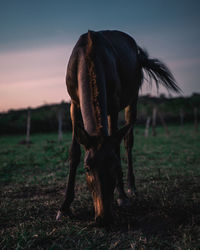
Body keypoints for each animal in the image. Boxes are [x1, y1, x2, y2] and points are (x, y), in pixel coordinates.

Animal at [55, 30, 180, 226]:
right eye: (87, 168)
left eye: (114, 166)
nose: (103, 218)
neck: (89, 56)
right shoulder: (74, 104)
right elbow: (74, 153)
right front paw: (64, 207)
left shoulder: (113, 105)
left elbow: (116, 146)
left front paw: (121, 196)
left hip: (133, 99)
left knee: (128, 141)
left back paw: (131, 188)